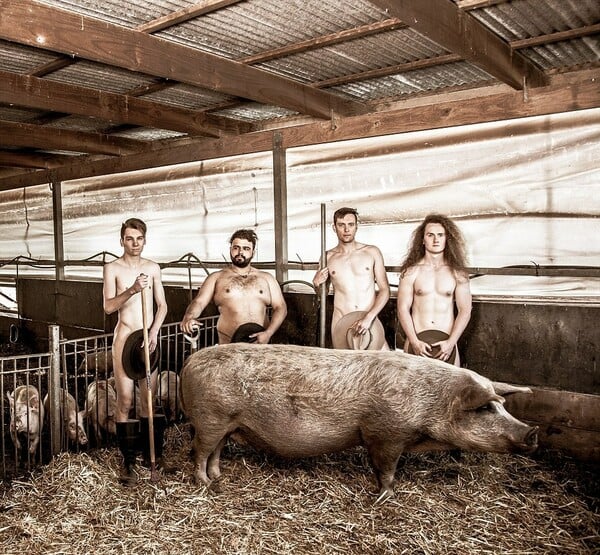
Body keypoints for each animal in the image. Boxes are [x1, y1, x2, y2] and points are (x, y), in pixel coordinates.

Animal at [180, 343, 538, 498]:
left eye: (502, 406)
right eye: (486, 408)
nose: (532, 431)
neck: (430, 403)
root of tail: (188, 362)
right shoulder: (386, 433)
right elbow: (386, 469)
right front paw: (385, 496)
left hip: (228, 424)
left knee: (215, 452)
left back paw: (218, 478)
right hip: (211, 419)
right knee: (198, 452)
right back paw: (203, 484)